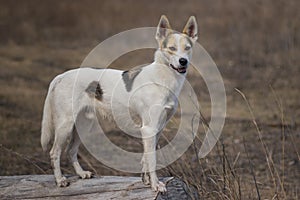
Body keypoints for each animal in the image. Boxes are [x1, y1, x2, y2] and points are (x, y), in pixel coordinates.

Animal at [41, 15, 198, 192]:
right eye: (171, 48)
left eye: (187, 48)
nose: (183, 61)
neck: (162, 79)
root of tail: (61, 76)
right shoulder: (149, 129)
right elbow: (152, 160)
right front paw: (155, 185)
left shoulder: (156, 129)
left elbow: (145, 159)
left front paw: (146, 181)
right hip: (65, 126)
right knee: (55, 152)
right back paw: (60, 180)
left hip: (82, 125)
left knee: (71, 150)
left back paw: (81, 174)